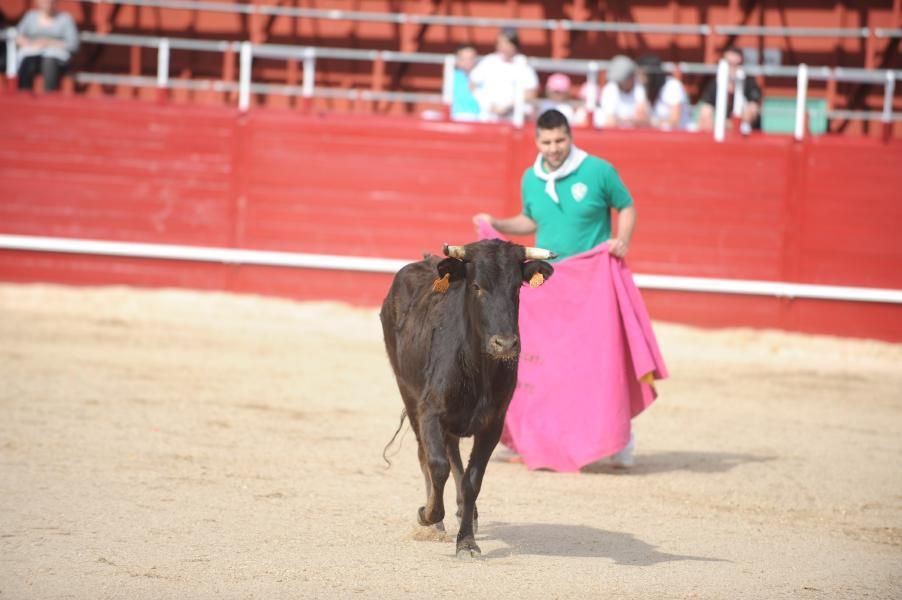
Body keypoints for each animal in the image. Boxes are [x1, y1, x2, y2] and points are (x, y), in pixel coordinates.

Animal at [380, 239, 556, 556]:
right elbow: (437, 466)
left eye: (517, 287)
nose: (505, 344)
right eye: (476, 286)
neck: (477, 367)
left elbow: (473, 479)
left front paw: (466, 541)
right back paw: (436, 521)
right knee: (427, 455)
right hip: (407, 393)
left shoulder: (493, 424)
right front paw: (428, 514)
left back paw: (466, 512)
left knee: (454, 456)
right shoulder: (429, 411)